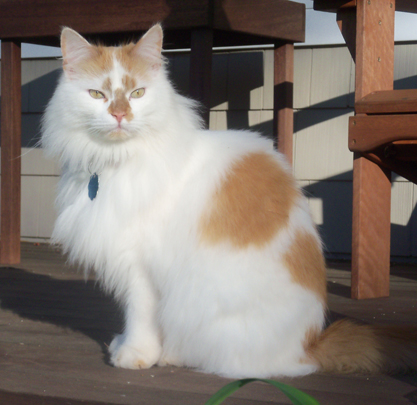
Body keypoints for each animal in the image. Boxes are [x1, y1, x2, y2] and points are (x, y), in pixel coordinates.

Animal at [41, 23, 416, 378]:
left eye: (137, 93)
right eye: (97, 94)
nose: (120, 115)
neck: (116, 162)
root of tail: (309, 343)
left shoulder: (140, 268)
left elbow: (139, 317)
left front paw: (134, 355)